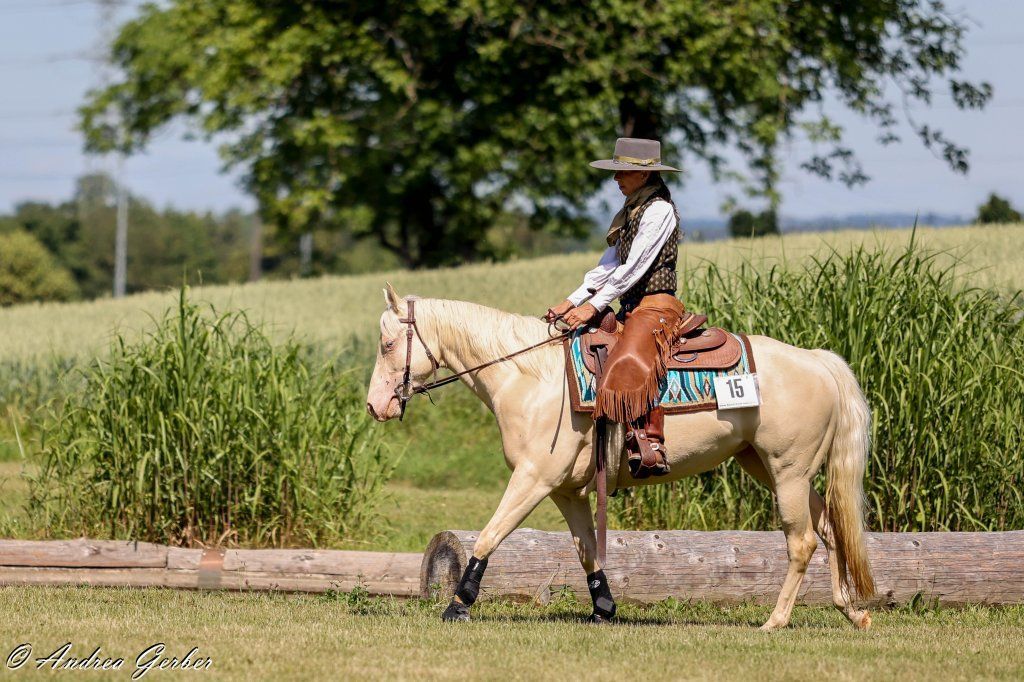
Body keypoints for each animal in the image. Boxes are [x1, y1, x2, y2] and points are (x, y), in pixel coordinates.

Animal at [366, 284, 875, 630]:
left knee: (802, 541)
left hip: (788, 470)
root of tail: (816, 360)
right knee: (831, 527)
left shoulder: (533, 479)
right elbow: (588, 552)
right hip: (772, 467)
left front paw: (458, 605)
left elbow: (490, 535)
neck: (529, 376)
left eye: (388, 344)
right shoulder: (567, 492)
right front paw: (604, 609)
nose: (375, 406)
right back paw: (852, 611)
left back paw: (776, 620)